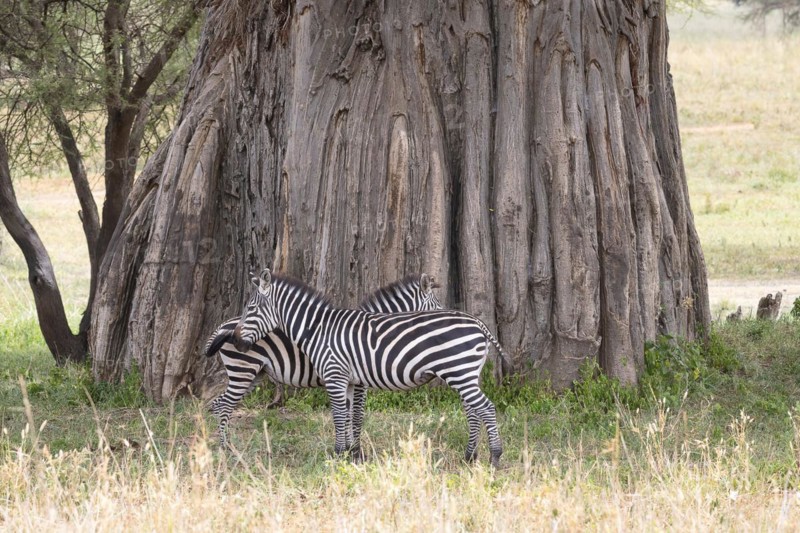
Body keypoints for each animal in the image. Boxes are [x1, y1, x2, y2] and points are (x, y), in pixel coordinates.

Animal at [205, 273, 443, 448]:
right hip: (242, 371)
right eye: (439, 309)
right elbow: (356, 415)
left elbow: (349, 415)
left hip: (252, 374)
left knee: (219, 403)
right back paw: (226, 449)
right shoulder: (359, 382)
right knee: (224, 405)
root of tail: (225, 325)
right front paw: (355, 450)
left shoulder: (351, 380)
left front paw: (351, 449)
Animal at [232, 269, 510, 467]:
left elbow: (343, 416)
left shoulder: (337, 376)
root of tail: (478, 322)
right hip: (463, 374)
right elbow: (347, 416)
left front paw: (340, 455)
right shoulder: (348, 380)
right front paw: (349, 455)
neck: (318, 329)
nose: (236, 341)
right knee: (475, 410)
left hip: (460, 373)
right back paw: (470, 456)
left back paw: (494, 458)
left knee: (485, 408)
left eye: (251, 308)